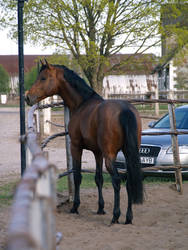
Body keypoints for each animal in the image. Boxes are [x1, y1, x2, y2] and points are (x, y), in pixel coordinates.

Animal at [24, 60, 142, 225]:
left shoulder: (76, 147)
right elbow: (98, 178)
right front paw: (100, 208)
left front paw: (75, 206)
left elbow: (77, 176)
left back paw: (115, 216)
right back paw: (128, 218)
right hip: (128, 153)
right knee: (129, 181)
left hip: (110, 157)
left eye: (43, 78)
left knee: (117, 181)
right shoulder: (98, 153)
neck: (82, 103)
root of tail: (125, 110)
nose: (28, 97)